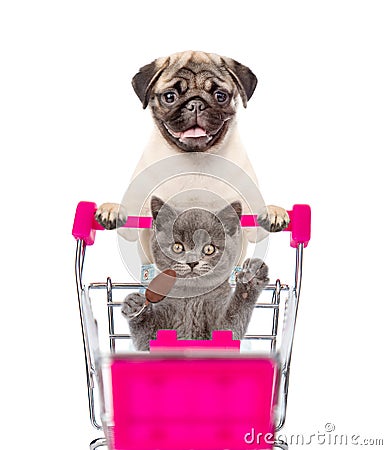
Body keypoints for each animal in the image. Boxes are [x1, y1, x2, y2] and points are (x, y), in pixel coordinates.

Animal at [96, 50, 292, 260]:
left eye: (220, 96)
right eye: (170, 97)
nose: (196, 104)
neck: (195, 161)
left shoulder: (250, 226)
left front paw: (273, 212)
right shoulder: (136, 225)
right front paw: (113, 209)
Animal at [123, 195, 268, 350]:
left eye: (209, 249)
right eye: (177, 247)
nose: (192, 262)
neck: (192, 297)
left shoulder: (223, 328)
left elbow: (233, 322)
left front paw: (251, 276)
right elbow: (146, 338)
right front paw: (134, 305)